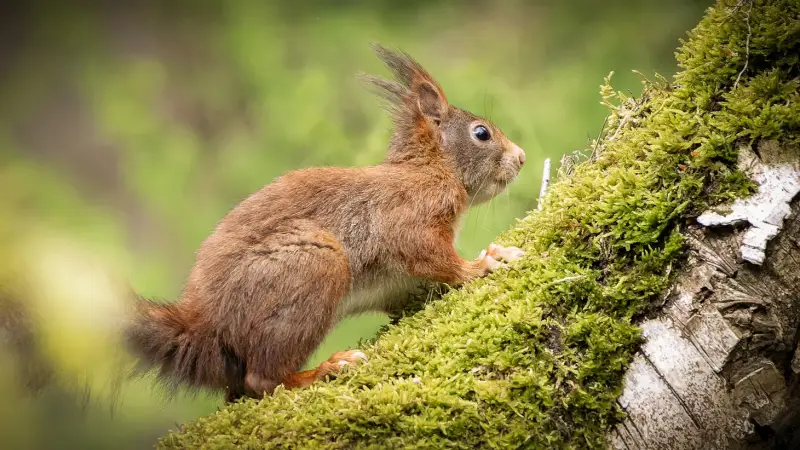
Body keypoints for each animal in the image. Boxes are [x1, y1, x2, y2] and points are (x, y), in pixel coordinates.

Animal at [125, 44, 527, 403]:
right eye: (481, 133)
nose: (522, 157)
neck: (430, 168)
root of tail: (205, 324)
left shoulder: (398, 285)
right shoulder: (409, 214)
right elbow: (429, 254)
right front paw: (481, 264)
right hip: (313, 265)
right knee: (262, 380)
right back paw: (325, 369)